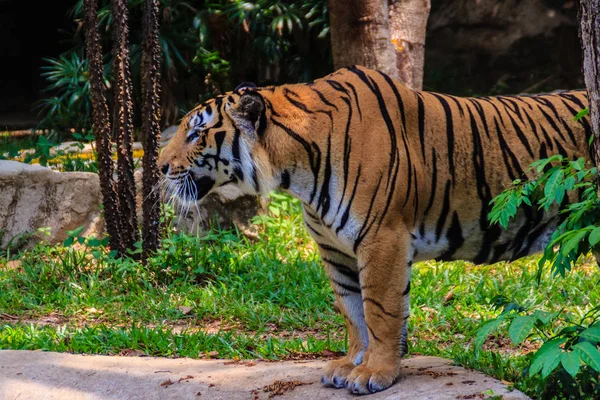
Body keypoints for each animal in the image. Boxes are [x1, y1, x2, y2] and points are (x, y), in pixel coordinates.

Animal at [157, 65, 592, 394]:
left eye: (195, 134)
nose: (159, 166)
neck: (295, 170)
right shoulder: (335, 249)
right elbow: (352, 310)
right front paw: (350, 363)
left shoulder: (383, 238)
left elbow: (380, 310)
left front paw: (376, 373)